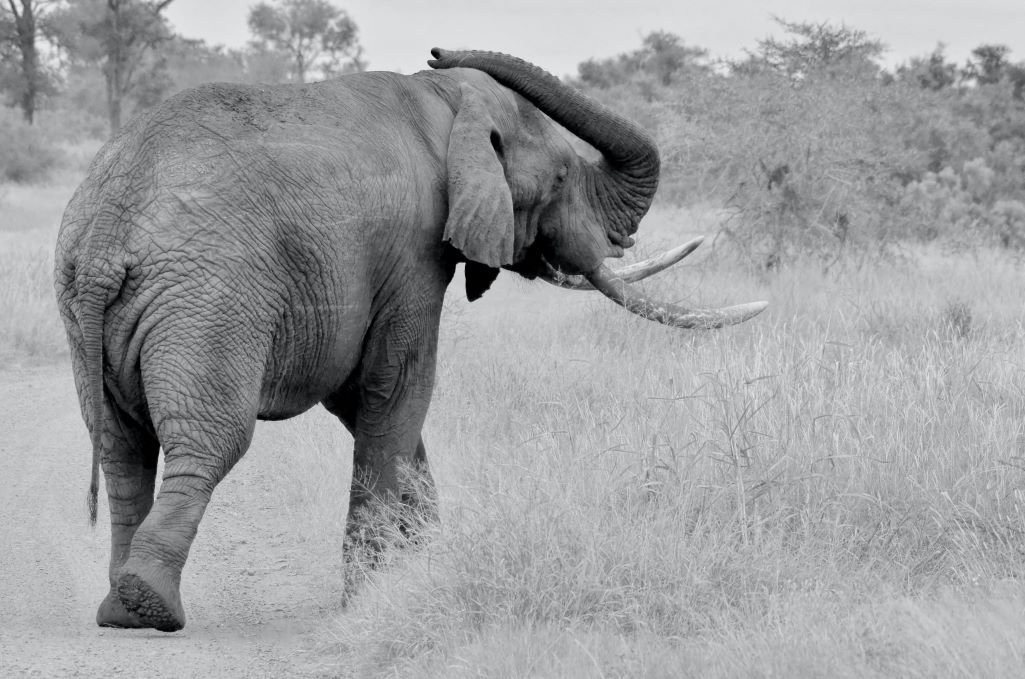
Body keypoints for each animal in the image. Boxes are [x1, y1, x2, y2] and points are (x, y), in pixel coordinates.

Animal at [54, 47, 766, 632]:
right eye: (562, 179)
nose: (437, 48)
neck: (446, 100)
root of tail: (106, 236)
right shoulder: (413, 252)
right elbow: (396, 388)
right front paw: (371, 600)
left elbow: (371, 405)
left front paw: (427, 567)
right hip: (210, 299)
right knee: (208, 441)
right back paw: (150, 608)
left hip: (94, 306)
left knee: (121, 447)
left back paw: (119, 608)